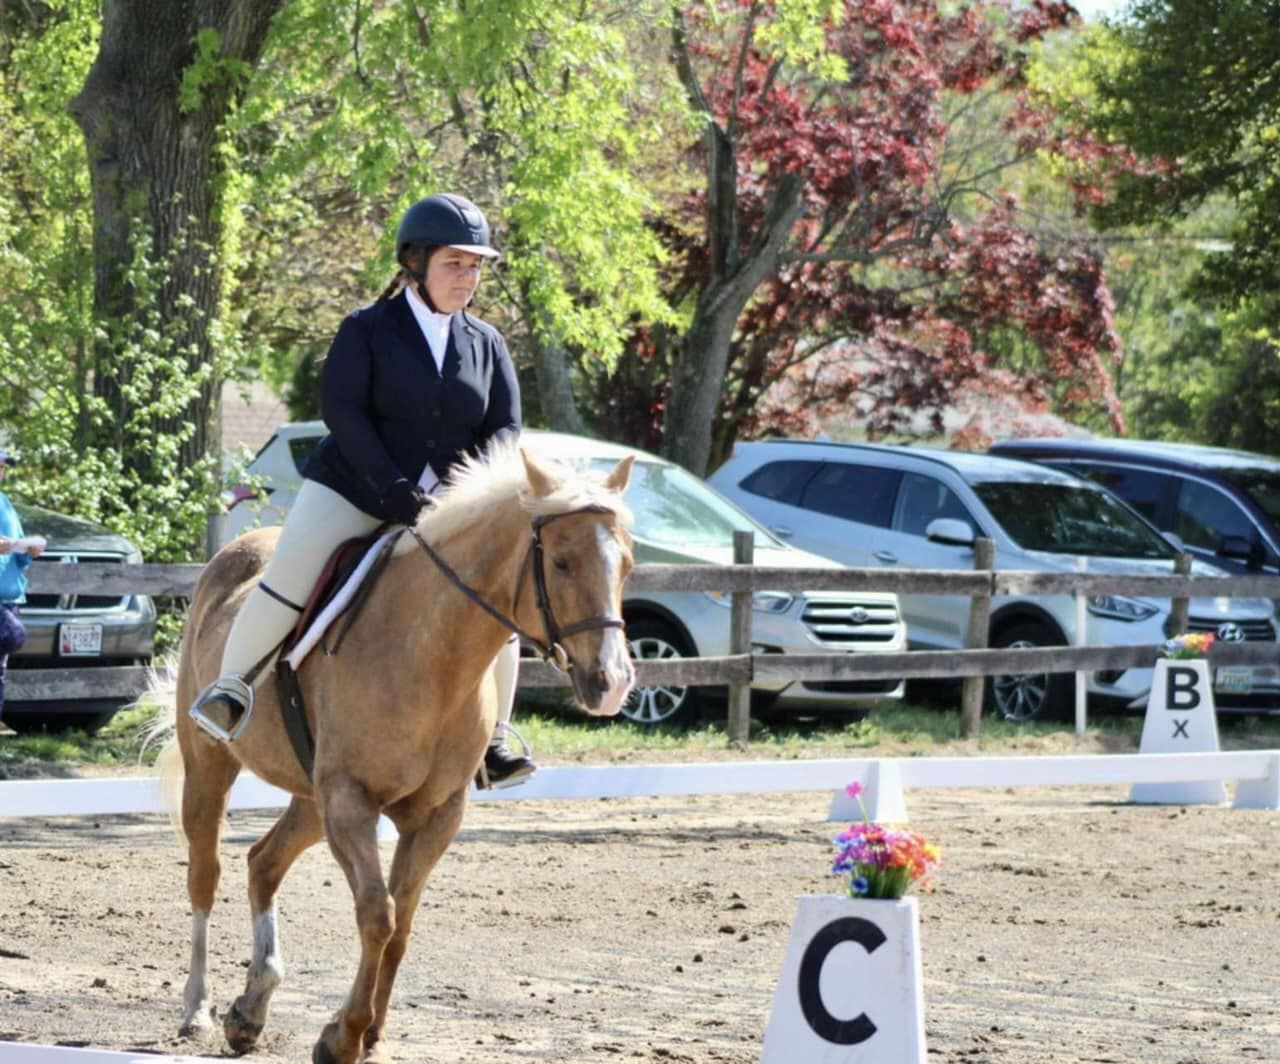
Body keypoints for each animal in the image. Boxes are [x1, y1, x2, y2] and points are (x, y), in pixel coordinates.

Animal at [158, 444, 636, 1063]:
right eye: (561, 563)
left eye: (627, 566)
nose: (612, 684)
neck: (433, 656)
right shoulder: (351, 799)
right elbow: (377, 915)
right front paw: (343, 1036)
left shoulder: (436, 813)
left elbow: (402, 922)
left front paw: (370, 1035)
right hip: (214, 767)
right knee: (205, 874)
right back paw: (199, 1009)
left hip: (312, 800)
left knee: (263, 862)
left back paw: (251, 1007)